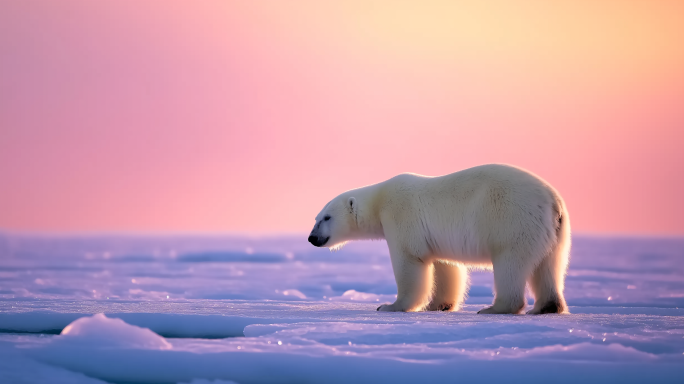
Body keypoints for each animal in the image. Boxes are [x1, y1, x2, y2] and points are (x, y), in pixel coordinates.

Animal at [308, 164, 568, 314]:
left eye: (327, 217)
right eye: (316, 217)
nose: (312, 238)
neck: (379, 200)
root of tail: (553, 202)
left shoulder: (401, 213)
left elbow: (409, 261)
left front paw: (390, 306)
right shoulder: (437, 237)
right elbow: (447, 266)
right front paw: (439, 305)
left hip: (512, 221)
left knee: (510, 263)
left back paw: (494, 308)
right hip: (554, 233)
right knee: (549, 266)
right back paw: (547, 307)